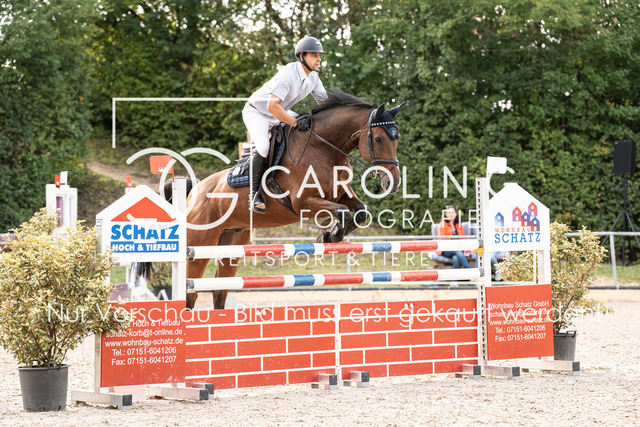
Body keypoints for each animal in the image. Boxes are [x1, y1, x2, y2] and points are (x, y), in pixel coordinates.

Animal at [140, 89, 405, 310]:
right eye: (379, 139)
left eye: (397, 139)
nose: (392, 182)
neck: (324, 149)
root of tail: (193, 194)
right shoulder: (303, 204)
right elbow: (342, 211)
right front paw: (329, 234)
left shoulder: (340, 194)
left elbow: (360, 211)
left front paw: (331, 235)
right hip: (200, 244)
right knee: (191, 292)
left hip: (231, 243)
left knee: (219, 291)